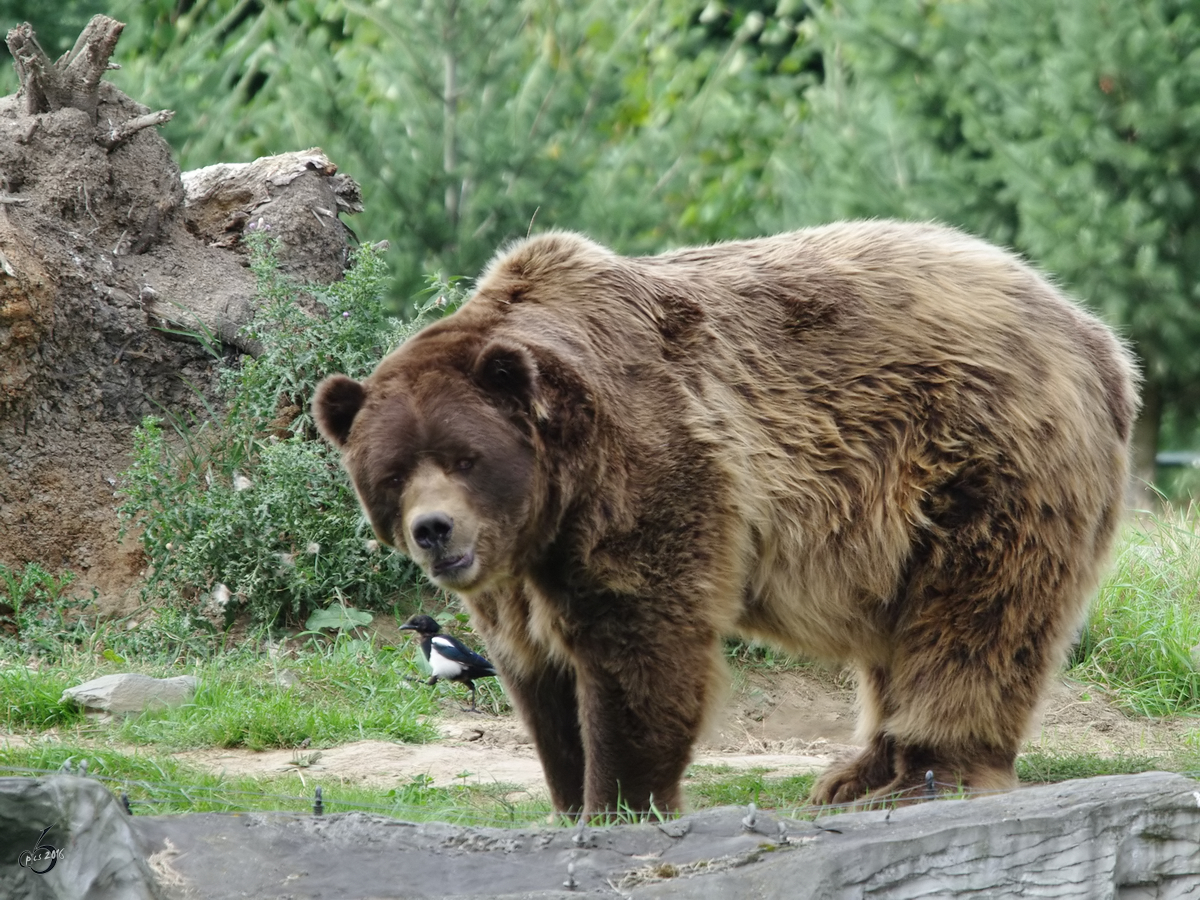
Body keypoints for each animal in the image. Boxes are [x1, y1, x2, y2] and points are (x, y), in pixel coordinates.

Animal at [309, 220, 1132, 816]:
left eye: (465, 457)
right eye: (391, 473)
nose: (435, 531)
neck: (558, 495)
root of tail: (1097, 338)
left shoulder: (652, 471)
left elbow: (640, 646)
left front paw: (620, 802)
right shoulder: (518, 569)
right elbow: (537, 673)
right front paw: (568, 795)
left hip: (983, 456)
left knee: (974, 618)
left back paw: (923, 773)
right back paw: (857, 772)